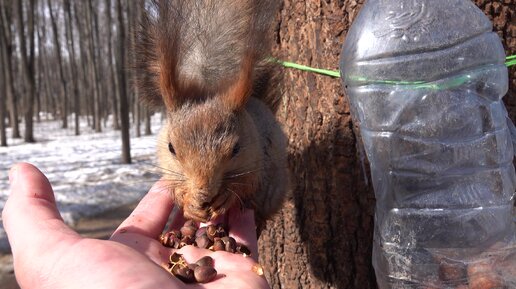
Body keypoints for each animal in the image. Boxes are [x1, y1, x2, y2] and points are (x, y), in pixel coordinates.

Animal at [135, 0, 288, 230]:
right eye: (171, 148)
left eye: (236, 148)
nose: (204, 192)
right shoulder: (167, 166)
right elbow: (174, 187)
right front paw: (188, 201)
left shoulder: (256, 159)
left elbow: (247, 184)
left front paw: (226, 197)